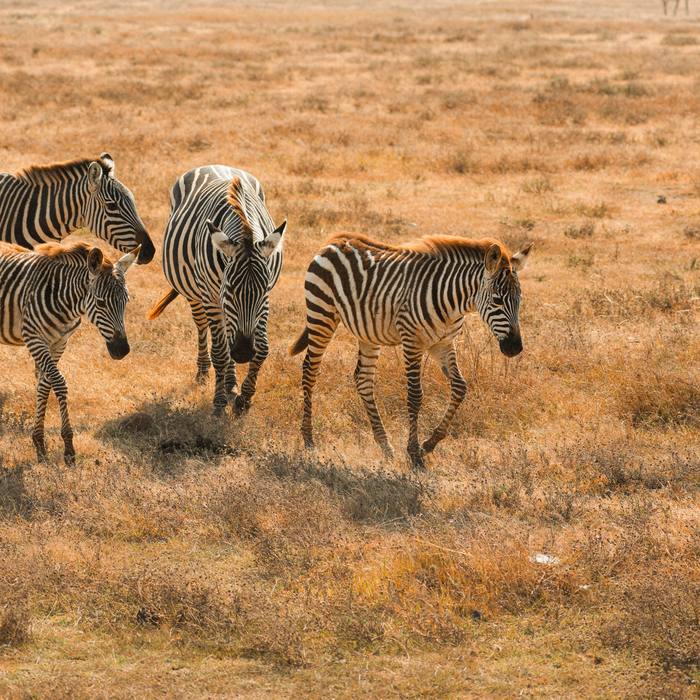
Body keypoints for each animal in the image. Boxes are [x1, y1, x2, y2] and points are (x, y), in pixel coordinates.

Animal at [0, 240, 139, 464]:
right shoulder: (34, 337)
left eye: (126, 301)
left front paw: (39, 444)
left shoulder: (59, 342)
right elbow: (58, 382)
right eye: (100, 303)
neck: (65, 301)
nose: (122, 350)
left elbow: (44, 385)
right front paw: (68, 447)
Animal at [147, 166, 286, 415]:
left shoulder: (264, 301)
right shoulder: (213, 299)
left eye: (263, 291)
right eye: (229, 289)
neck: (245, 228)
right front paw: (219, 405)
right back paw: (204, 372)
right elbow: (221, 352)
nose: (243, 352)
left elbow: (262, 349)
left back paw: (231, 384)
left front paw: (244, 399)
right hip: (196, 293)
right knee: (203, 328)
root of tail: (213, 165)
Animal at [289, 234, 532, 469]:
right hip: (321, 314)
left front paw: (429, 444)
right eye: (497, 300)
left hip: (367, 331)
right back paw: (309, 439)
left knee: (363, 379)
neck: (453, 303)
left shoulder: (443, 344)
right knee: (310, 370)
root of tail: (334, 241)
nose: (515, 348)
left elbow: (460, 387)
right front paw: (415, 454)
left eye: (520, 299)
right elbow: (415, 395)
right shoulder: (412, 341)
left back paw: (385, 445)